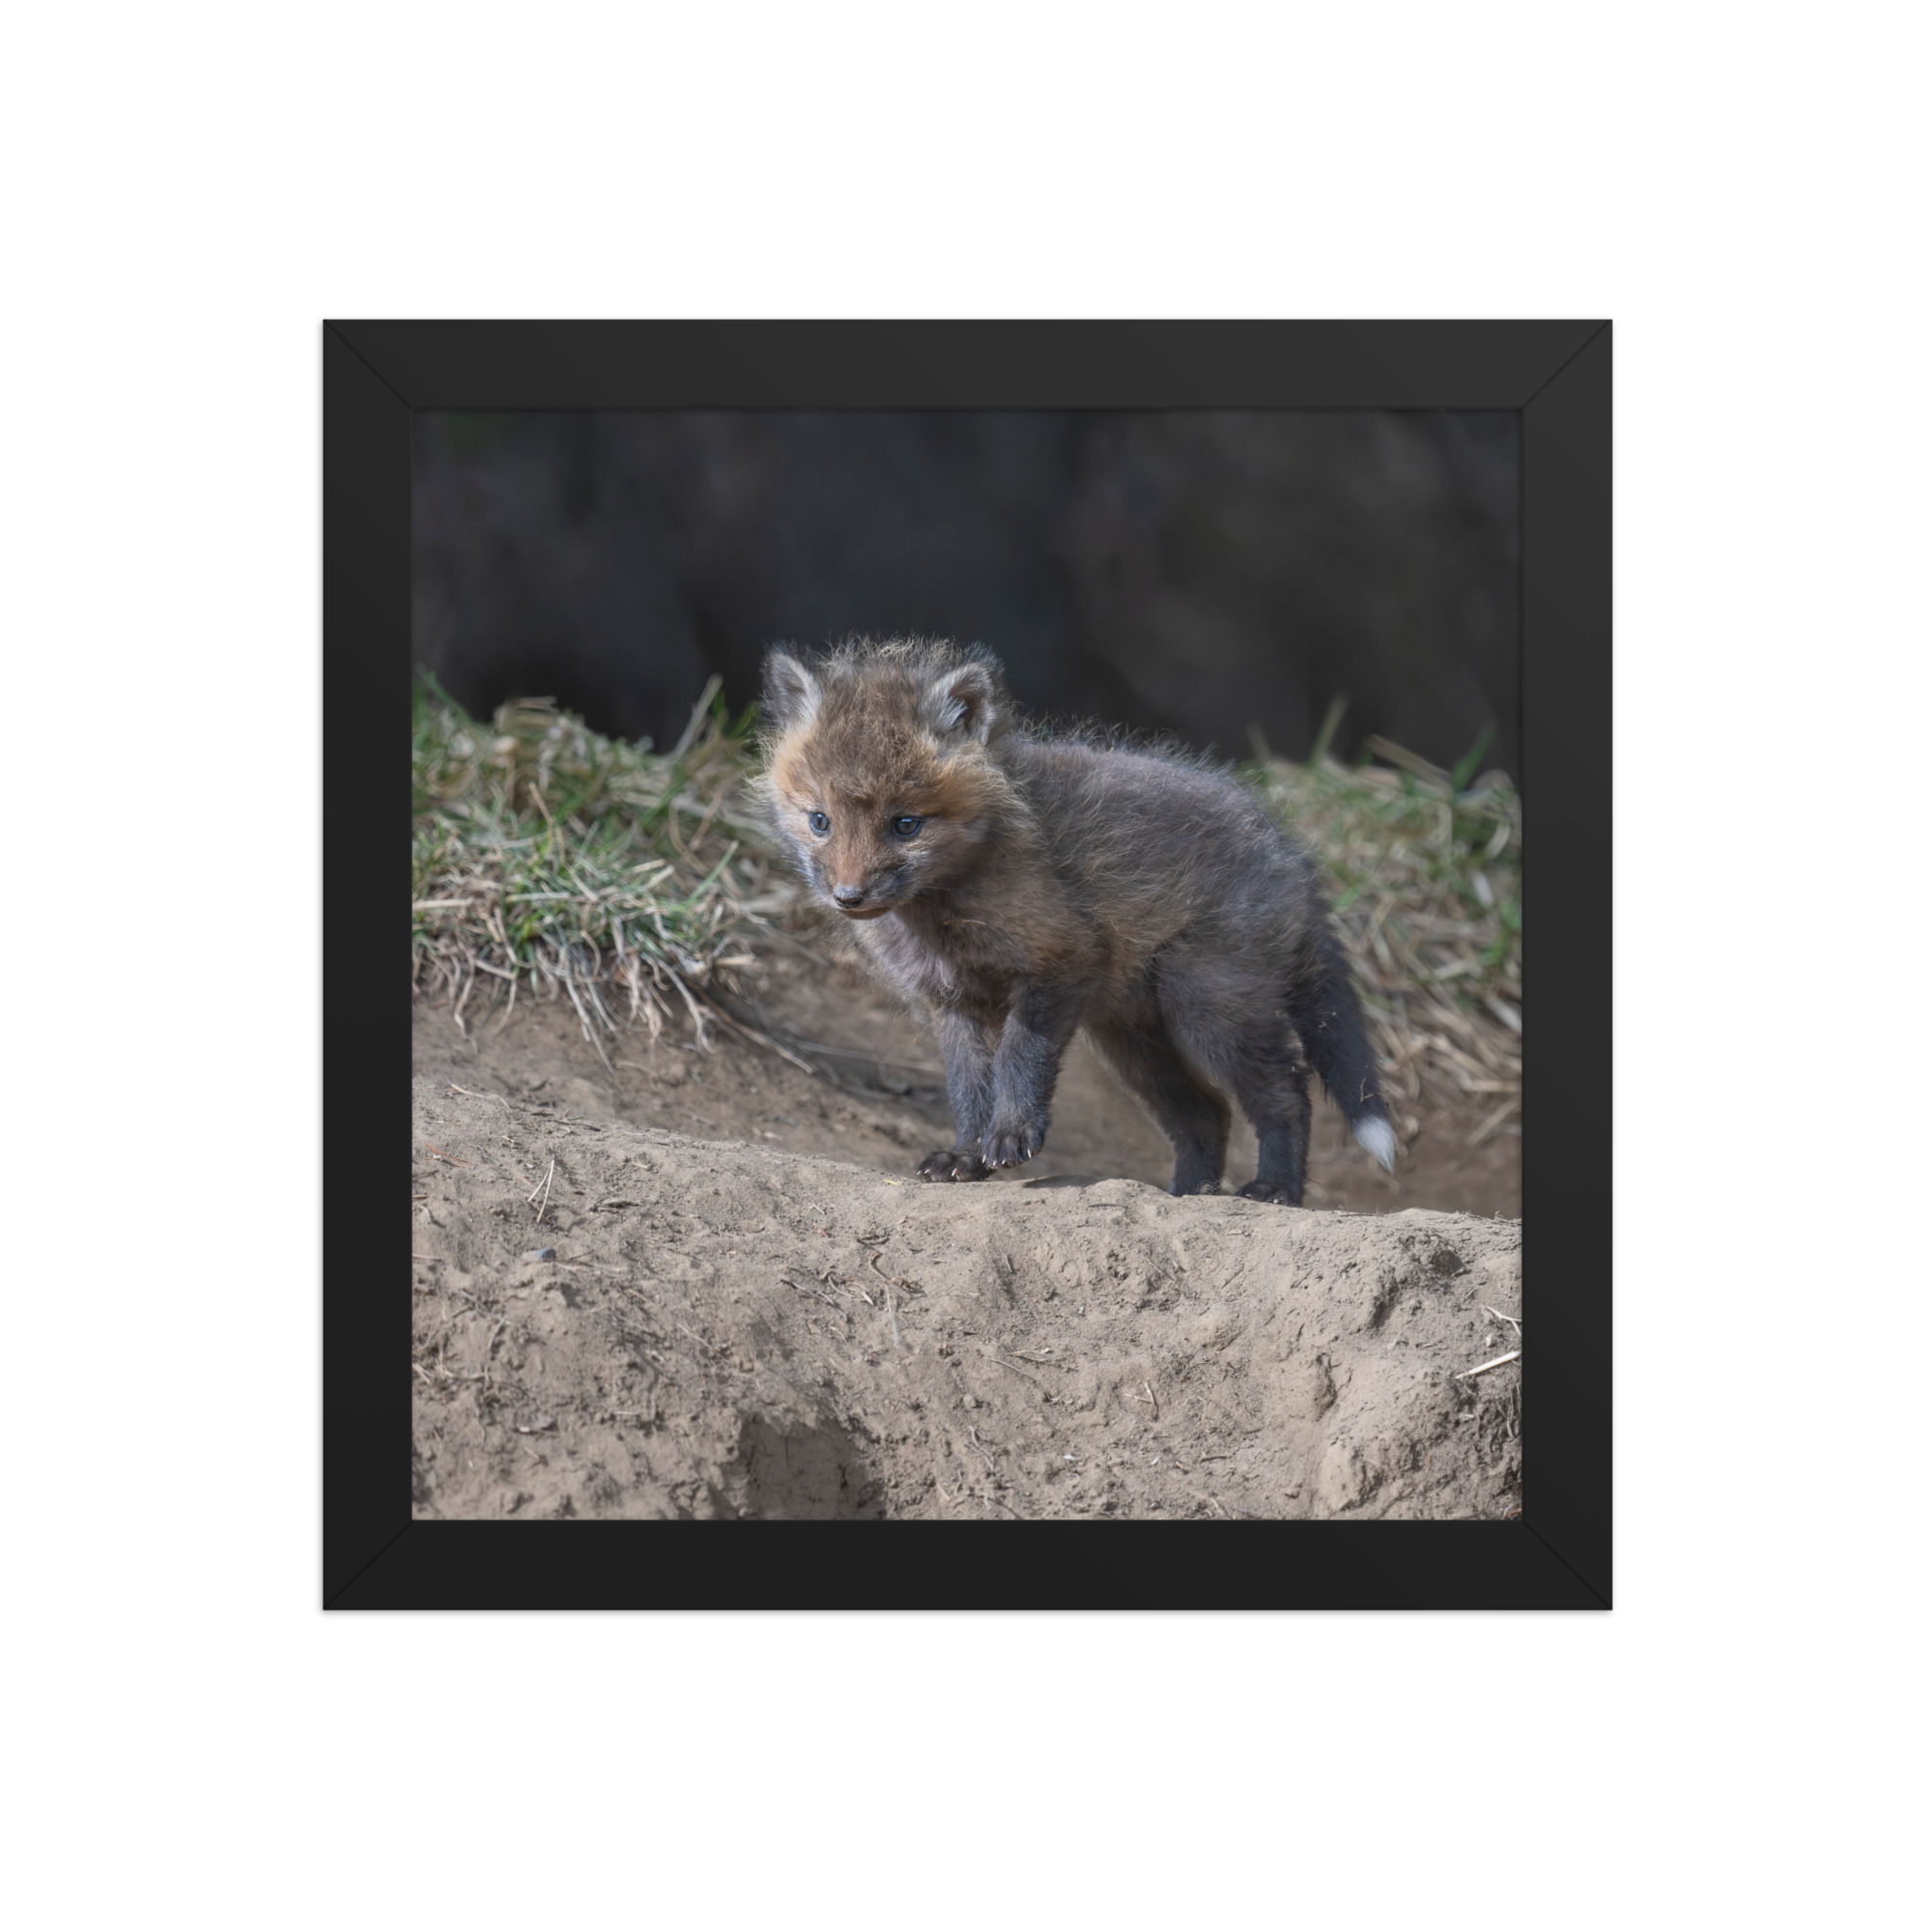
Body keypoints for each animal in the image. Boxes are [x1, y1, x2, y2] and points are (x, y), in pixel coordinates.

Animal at [755, 636, 1397, 1205]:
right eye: (820, 821)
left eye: (905, 824)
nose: (848, 896)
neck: (944, 915)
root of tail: (1293, 856)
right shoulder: (952, 1001)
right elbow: (968, 1088)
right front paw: (965, 1155)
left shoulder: (1060, 960)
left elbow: (1019, 1058)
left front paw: (1011, 1135)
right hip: (1134, 1041)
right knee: (1207, 1113)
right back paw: (1188, 1194)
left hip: (1208, 1009)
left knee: (1287, 1092)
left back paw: (1275, 1189)